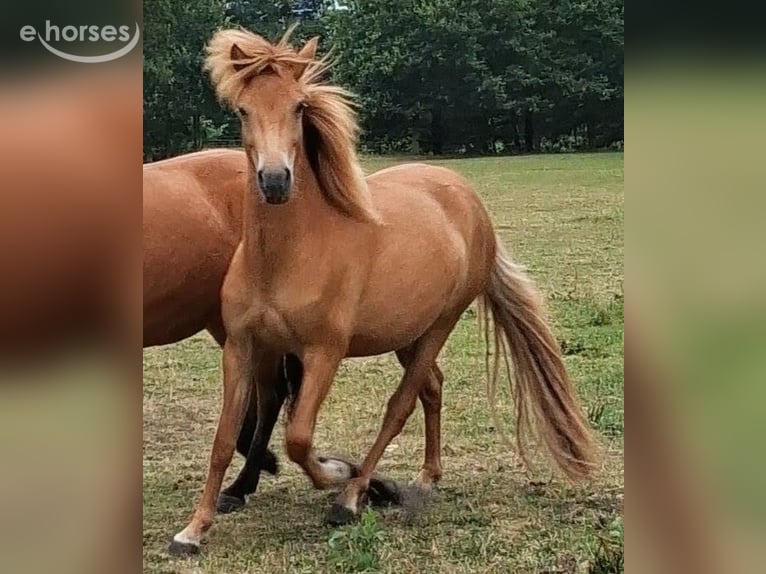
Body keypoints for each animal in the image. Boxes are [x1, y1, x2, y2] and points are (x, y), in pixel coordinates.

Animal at [170, 28, 596, 555]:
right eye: (244, 110)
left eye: (298, 107)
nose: (274, 181)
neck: (286, 259)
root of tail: (467, 198)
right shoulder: (242, 346)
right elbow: (225, 439)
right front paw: (194, 529)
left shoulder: (324, 353)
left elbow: (299, 438)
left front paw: (337, 473)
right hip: (406, 333)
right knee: (432, 388)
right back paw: (426, 477)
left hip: (439, 325)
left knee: (401, 405)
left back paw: (354, 496)